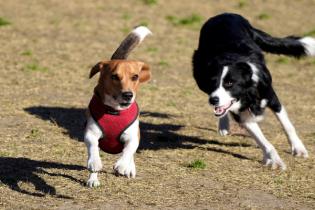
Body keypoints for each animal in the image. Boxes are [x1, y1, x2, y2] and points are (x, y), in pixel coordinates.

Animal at [84, 26, 153, 187]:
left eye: (135, 77)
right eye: (114, 76)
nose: (128, 95)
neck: (115, 111)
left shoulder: (133, 136)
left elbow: (129, 149)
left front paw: (122, 166)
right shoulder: (91, 133)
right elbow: (93, 146)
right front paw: (94, 163)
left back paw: (129, 168)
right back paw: (93, 179)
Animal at [194, 13, 314, 170]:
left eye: (230, 83)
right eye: (212, 83)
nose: (212, 100)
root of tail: (224, 14)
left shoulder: (271, 96)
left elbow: (287, 125)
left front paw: (298, 149)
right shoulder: (243, 116)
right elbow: (264, 141)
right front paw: (275, 160)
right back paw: (223, 125)